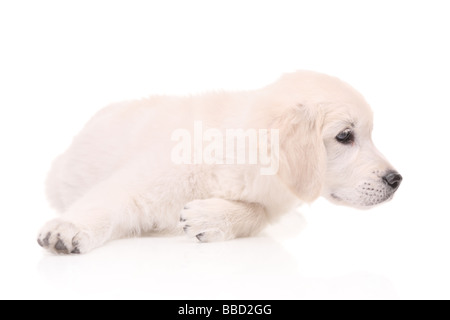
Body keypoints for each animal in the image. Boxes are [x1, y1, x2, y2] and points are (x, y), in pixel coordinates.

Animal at [37, 71, 400, 254]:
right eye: (345, 135)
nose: (396, 180)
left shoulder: (269, 203)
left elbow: (258, 213)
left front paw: (209, 218)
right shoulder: (142, 183)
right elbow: (106, 202)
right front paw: (68, 228)